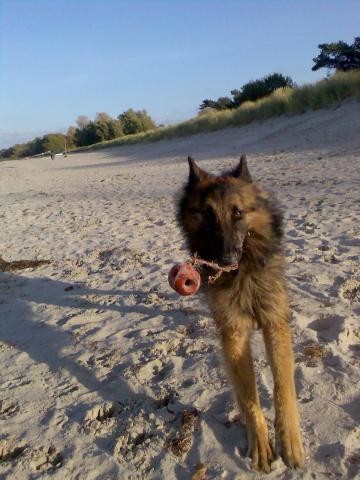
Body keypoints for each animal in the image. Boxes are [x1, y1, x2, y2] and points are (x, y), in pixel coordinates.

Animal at [177, 156, 304, 470]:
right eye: (207, 214)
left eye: (238, 212)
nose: (227, 259)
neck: (243, 272)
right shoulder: (233, 334)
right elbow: (248, 396)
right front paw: (260, 444)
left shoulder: (275, 323)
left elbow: (284, 387)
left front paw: (290, 441)